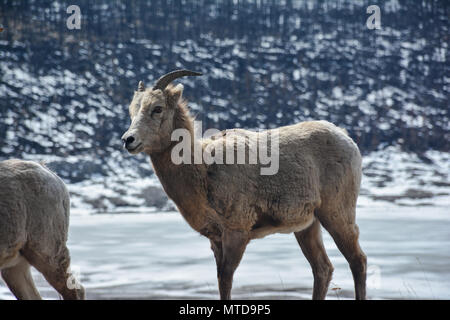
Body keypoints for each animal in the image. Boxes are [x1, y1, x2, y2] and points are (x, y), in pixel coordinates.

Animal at [121, 70, 368, 300]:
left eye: (157, 108)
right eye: (132, 111)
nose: (128, 140)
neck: (204, 170)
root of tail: (346, 139)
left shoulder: (236, 234)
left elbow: (226, 281)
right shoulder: (216, 240)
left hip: (337, 215)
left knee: (358, 261)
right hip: (307, 226)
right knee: (323, 269)